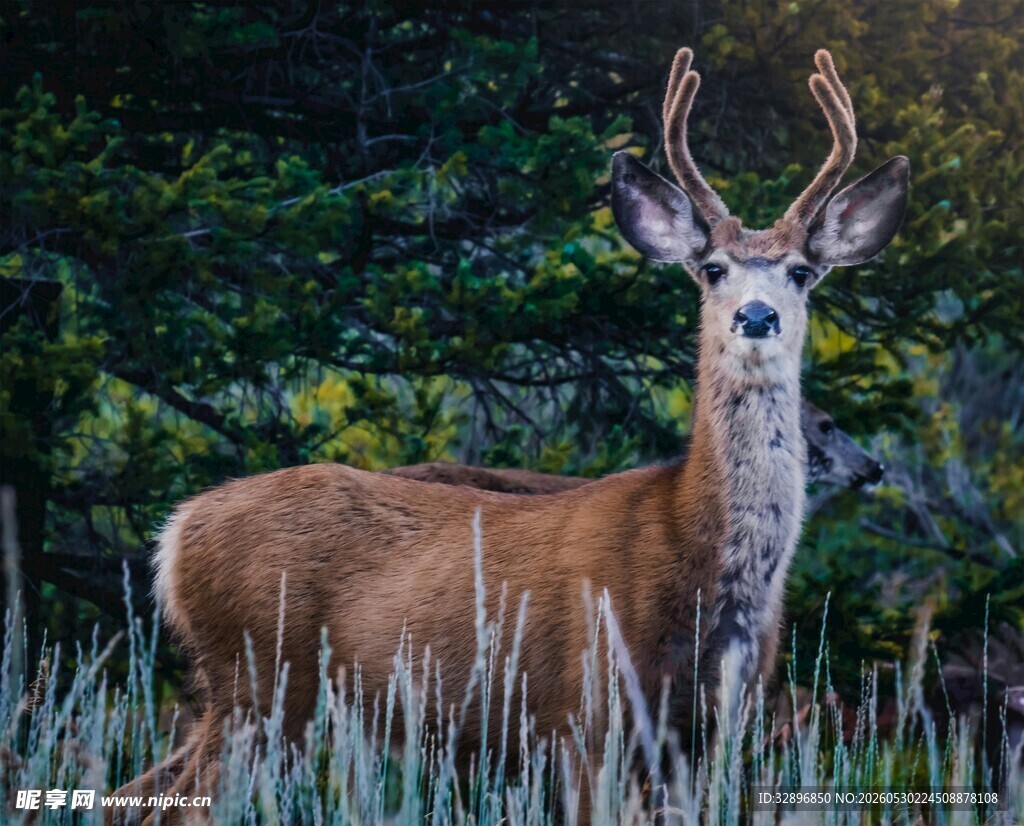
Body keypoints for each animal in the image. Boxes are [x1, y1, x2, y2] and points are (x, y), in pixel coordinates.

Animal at [115, 48, 908, 824]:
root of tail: (177, 532)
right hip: (260, 678)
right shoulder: (589, 712)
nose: (755, 317)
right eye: (713, 268)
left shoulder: (709, 730)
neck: (700, 557)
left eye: (801, 272)